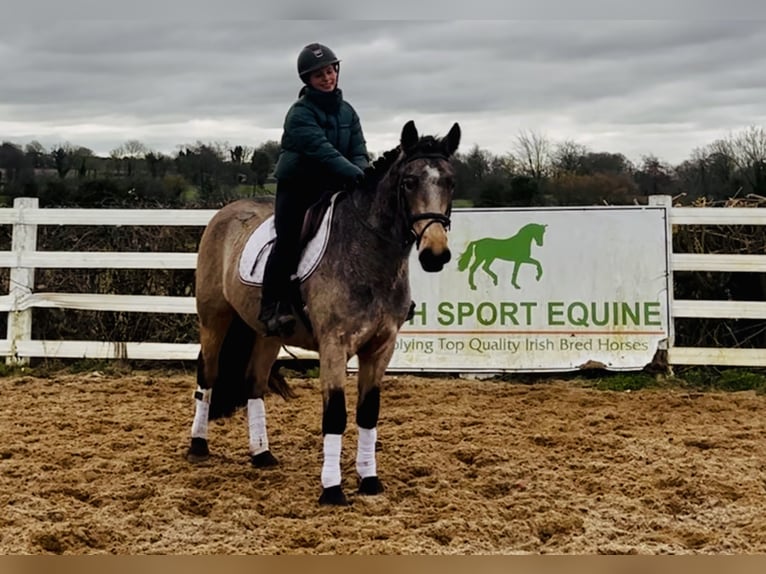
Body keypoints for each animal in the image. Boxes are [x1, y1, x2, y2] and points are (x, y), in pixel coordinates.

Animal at [188, 120, 461, 506]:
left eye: (450, 182)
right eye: (409, 182)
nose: (435, 253)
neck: (369, 255)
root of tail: (224, 213)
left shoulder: (381, 347)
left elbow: (368, 413)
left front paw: (369, 481)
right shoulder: (335, 346)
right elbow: (335, 415)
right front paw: (332, 489)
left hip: (266, 333)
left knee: (254, 381)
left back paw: (262, 454)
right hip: (215, 319)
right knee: (207, 376)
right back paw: (198, 446)